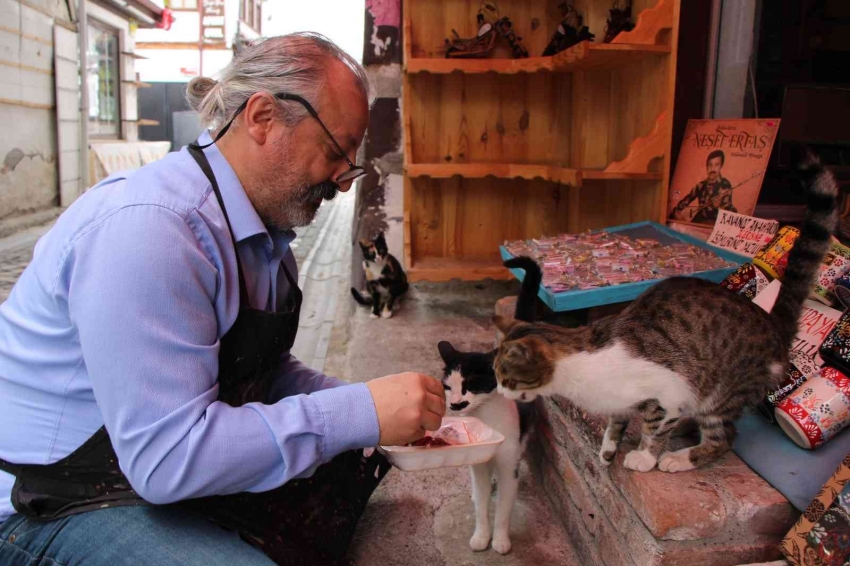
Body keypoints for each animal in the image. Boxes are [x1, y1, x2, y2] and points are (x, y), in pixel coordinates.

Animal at [434, 256, 540, 556]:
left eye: (470, 384)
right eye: (448, 387)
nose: (456, 404)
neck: (487, 418)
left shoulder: (508, 467)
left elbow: (504, 508)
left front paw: (500, 540)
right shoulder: (480, 463)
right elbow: (482, 505)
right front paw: (481, 536)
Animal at [490, 158, 836, 478]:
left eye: (506, 378)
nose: (500, 394)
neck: (580, 367)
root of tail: (772, 325)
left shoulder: (671, 390)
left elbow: (655, 428)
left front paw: (645, 456)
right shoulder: (621, 401)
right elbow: (617, 422)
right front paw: (608, 448)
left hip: (722, 392)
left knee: (724, 437)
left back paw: (681, 458)